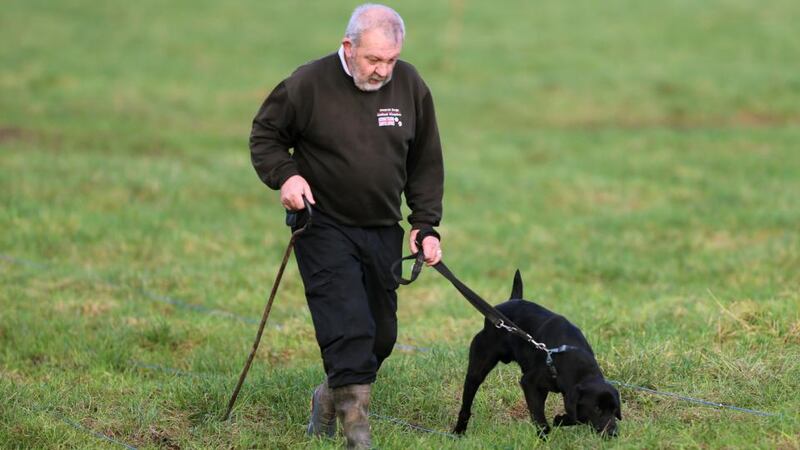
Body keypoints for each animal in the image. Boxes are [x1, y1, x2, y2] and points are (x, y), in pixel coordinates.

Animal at [454, 270, 620, 436]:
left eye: (614, 410)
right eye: (597, 409)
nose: (613, 433)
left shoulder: (563, 392)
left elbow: (574, 415)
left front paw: (560, 420)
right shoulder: (530, 382)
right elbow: (541, 419)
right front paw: (544, 434)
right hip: (477, 368)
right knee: (466, 404)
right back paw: (458, 431)